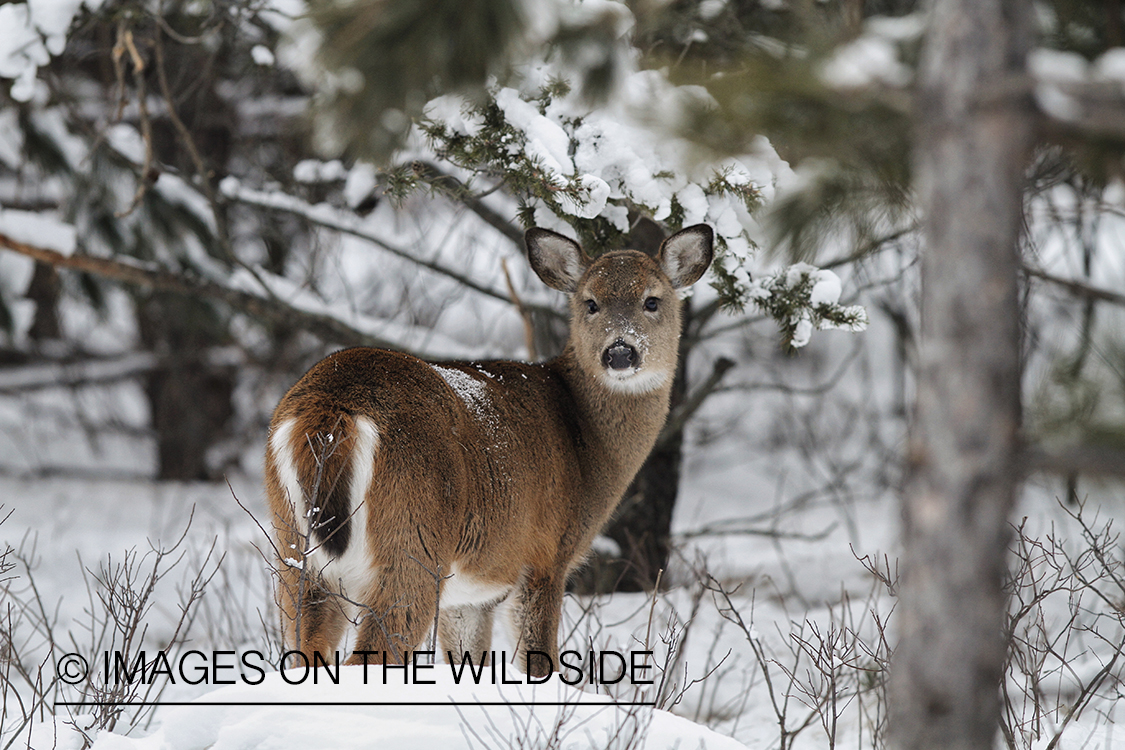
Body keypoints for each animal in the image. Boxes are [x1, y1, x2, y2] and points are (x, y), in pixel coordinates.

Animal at [263, 221, 711, 674]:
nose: (620, 352)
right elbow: (538, 661)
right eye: (590, 302)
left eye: (652, 300)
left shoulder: (471, 595)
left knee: (304, 648)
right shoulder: (545, 554)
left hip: (295, 553)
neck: (584, 439)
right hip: (414, 536)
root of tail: (332, 406)